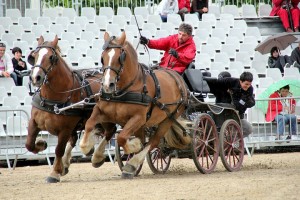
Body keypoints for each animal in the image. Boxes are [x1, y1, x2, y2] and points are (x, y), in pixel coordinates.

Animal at [25, 36, 102, 183]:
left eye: (51, 57)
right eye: (34, 55)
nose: (36, 77)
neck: (51, 99)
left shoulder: (65, 129)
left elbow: (58, 150)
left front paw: (54, 173)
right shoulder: (34, 122)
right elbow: (29, 144)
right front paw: (41, 144)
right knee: (75, 139)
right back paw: (66, 164)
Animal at [80, 32, 190, 179]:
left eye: (120, 57)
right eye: (103, 57)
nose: (108, 85)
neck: (123, 90)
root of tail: (177, 77)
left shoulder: (138, 118)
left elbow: (122, 138)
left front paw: (134, 146)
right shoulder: (101, 111)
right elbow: (90, 125)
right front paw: (92, 153)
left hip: (168, 118)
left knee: (153, 141)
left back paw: (132, 164)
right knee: (143, 139)